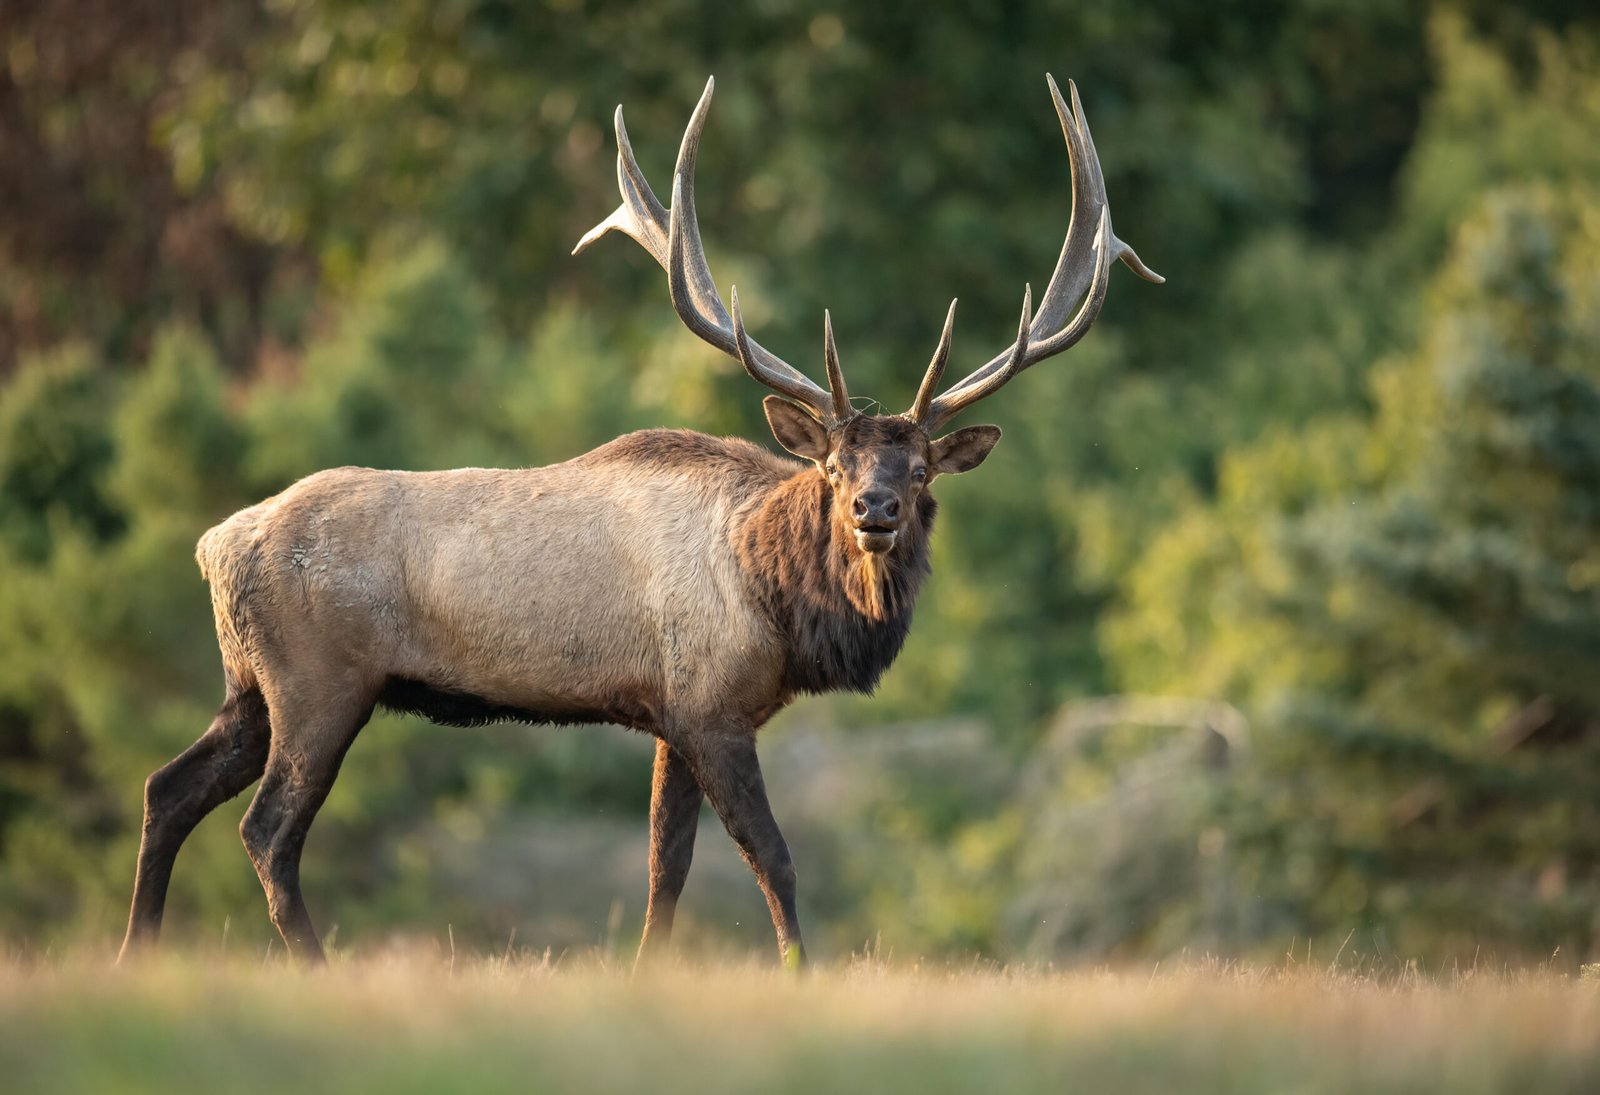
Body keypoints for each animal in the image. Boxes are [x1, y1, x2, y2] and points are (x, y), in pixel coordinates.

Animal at [119, 74, 1160, 969]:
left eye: (918, 467)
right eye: (834, 466)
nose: (875, 509)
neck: (777, 602)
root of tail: (216, 543)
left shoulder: (670, 713)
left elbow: (667, 865)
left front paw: (646, 970)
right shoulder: (709, 706)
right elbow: (772, 857)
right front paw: (800, 972)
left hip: (250, 685)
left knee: (167, 787)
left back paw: (139, 950)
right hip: (319, 681)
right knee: (266, 829)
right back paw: (310, 962)